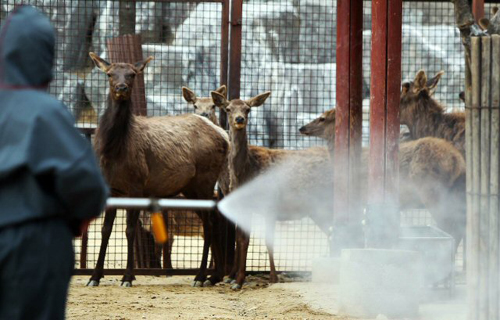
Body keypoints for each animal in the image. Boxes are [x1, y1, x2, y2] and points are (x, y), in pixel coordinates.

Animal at [87, 52, 229, 288]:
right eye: (109, 74)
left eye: (132, 74)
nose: (121, 87)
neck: (113, 151)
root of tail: (224, 135)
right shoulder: (111, 189)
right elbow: (105, 230)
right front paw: (94, 276)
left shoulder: (136, 184)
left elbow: (129, 230)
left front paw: (127, 277)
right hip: (190, 188)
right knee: (211, 221)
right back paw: (213, 276)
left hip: (205, 180)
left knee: (210, 224)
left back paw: (200, 276)